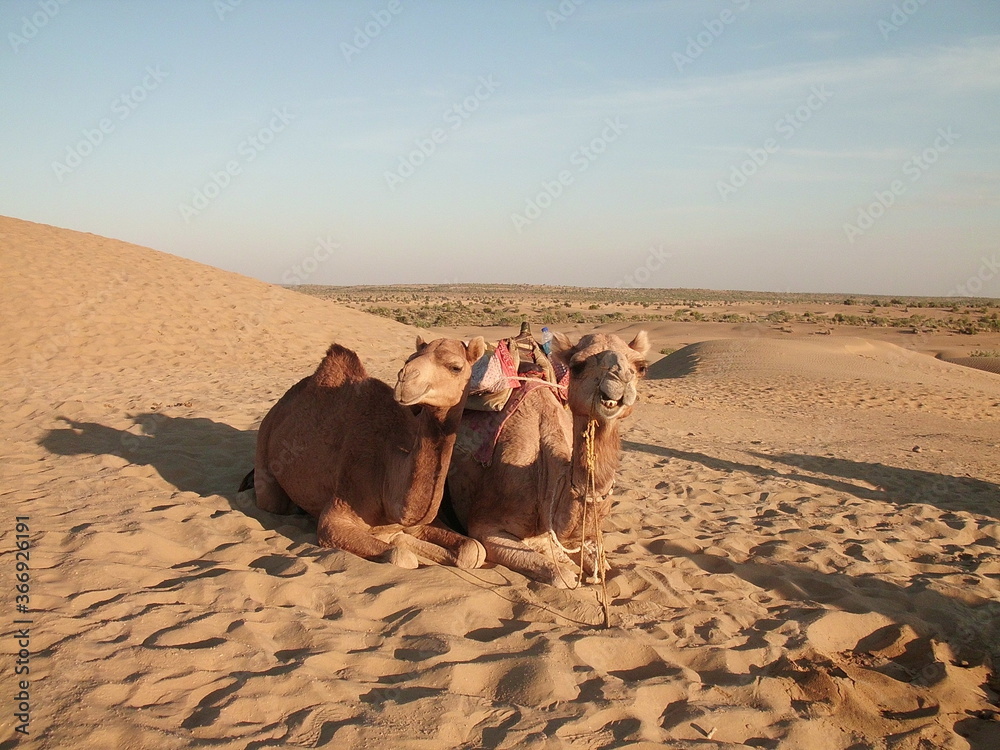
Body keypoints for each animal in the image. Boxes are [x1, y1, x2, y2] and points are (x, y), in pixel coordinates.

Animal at [240, 336, 487, 569]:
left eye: (455, 367)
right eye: (408, 359)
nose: (404, 378)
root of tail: (277, 407)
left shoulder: (418, 523)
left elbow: (473, 549)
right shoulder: (335, 516)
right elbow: (401, 556)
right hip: (265, 451)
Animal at [446, 330, 649, 587]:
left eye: (641, 367)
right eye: (577, 365)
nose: (619, 379)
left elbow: (604, 568)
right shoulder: (485, 524)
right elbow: (562, 576)